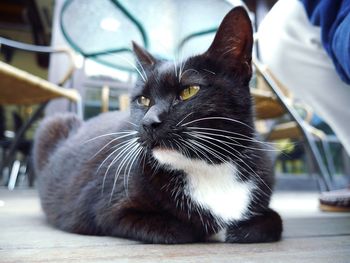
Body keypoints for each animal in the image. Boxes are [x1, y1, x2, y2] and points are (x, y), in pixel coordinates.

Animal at [34, 6, 284, 245]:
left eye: (188, 91)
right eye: (143, 100)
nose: (148, 122)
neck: (208, 168)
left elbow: (273, 222)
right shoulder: (110, 211)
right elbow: (180, 230)